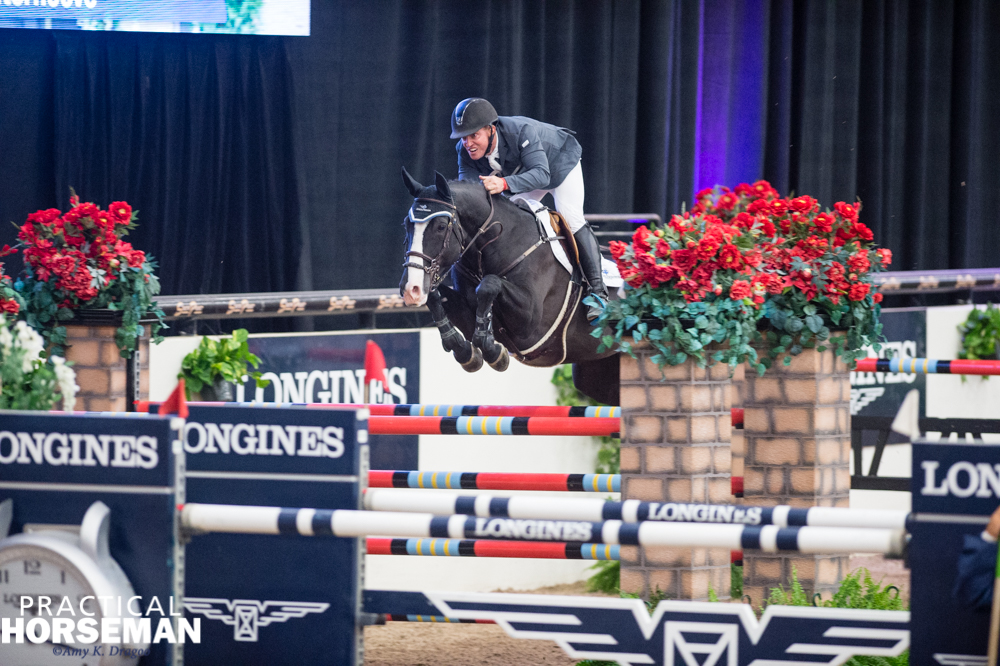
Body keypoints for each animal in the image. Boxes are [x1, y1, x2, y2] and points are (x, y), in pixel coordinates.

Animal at [398, 169, 616, 402]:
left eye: (440, 226)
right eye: (406, 224)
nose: (411, 289)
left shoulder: (531, 325)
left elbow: (488, 284)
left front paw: (491, 350)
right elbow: (437, 296)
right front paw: (464, 350)